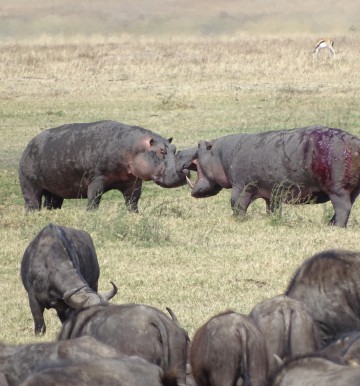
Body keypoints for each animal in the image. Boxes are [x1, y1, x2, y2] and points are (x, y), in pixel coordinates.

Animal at [19, 120, 187, 211]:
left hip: (54, 191)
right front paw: (91, 214)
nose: (183, 171)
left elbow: (133, 200)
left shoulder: (133, 181)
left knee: (51, 203)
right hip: (30, 185)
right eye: (161, 151)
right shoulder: (97, 179)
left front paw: (135, 214)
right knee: (32, 202)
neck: (132, 148)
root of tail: (29, 144)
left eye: (174, 149)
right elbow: (94, 197)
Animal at [180, 126, 360, 226]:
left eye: (201, 145)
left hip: (337, 190)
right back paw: (330, 224)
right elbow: (272, 209)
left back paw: (336, 227)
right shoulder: (271, 194)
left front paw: (239, 220)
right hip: (352, 190)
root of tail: (355, 142)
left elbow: (237, 204)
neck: (222, 154)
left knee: (343, 208)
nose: (179, 152)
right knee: (345, 207)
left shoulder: (241, 187)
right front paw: (272, 220)